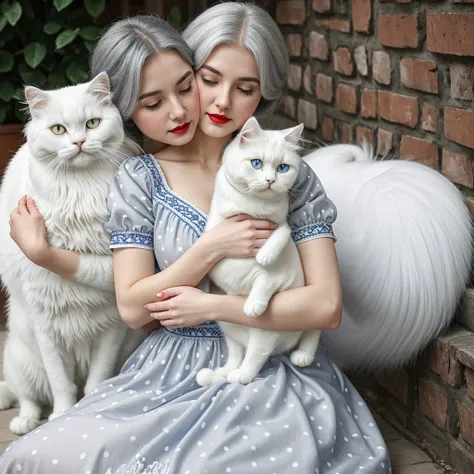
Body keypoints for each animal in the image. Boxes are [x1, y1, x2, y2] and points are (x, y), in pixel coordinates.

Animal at [0, 71, 145, 434]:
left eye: (92, 123)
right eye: (58, 130)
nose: (79, 143)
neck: (82, 193)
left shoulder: (112, 324)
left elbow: (95, 382)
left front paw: (86, 413)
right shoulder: (46, 322)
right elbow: (61, 384)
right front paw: (63, 416)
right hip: (20, 359)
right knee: (27, 397)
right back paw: (23, 423)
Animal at [194, 117, 320, 386]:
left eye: (283, 168)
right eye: (256, 163)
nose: (271, 180)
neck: (255, 206)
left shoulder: (280, 236)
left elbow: (278, 243)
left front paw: (265, 258)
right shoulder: (221, 219)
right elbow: (212, 236)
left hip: (269, 329)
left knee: (267, 349)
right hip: (228, 326)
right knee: (236, 353)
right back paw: (221, 373)